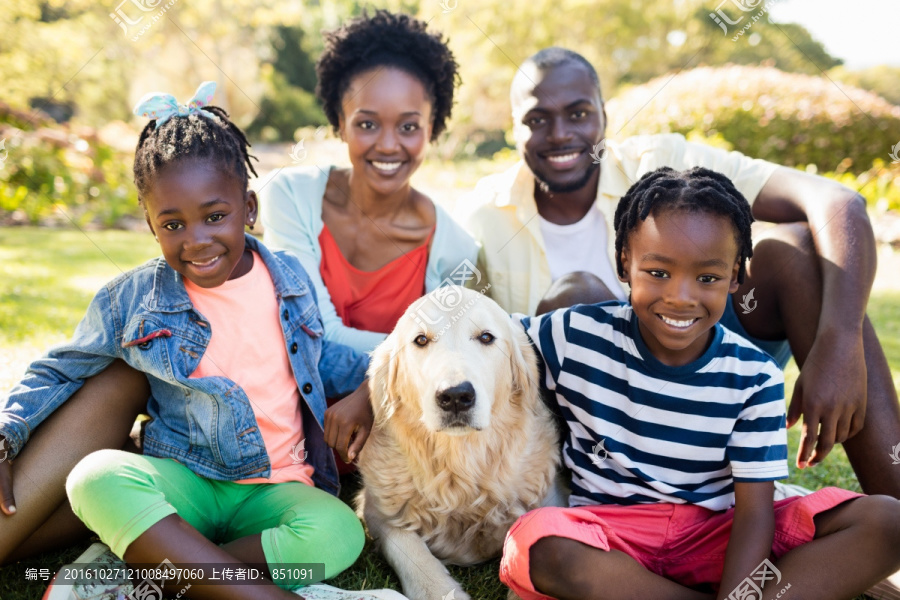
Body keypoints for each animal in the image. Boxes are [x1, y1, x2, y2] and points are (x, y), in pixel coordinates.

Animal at [356, 286, 560, 600]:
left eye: (486, 337)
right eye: (421, 340)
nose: (455, 396)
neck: (459, 470)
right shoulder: (377, 511)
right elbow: (411, 551)